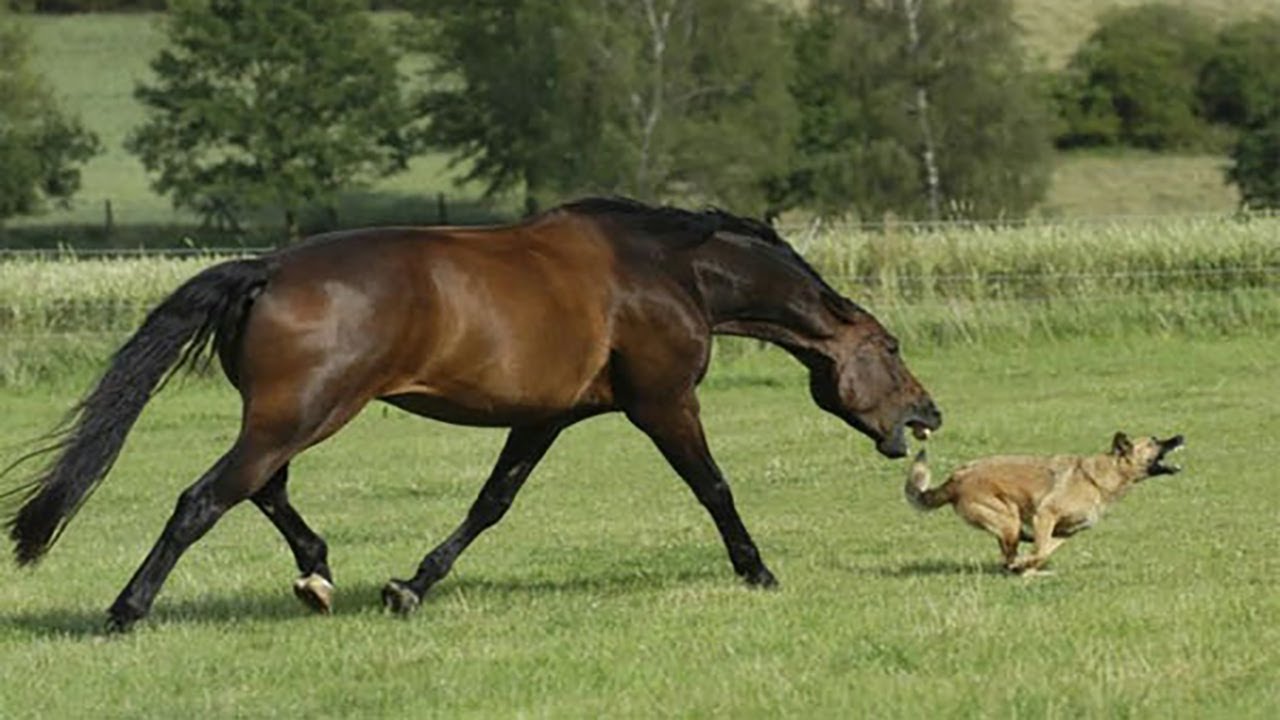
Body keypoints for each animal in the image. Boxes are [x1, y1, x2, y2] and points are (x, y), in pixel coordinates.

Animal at [3, 197, 941, 632]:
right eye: (891, 346)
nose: (928, 414)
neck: (668, 271)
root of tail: (266, 268)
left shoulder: (546, 418)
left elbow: (491, 504)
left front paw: (408, 587)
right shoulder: (663, 402)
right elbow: (714, 488)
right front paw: (758, 571)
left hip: (291, 415)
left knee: (262, 492)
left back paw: (318, 576)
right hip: (302, 413)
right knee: (205, 498)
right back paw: (128, 611)